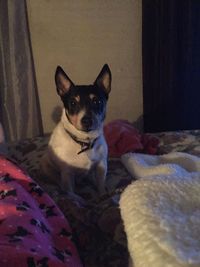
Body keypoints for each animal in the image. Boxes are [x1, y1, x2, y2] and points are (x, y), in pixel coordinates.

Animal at [40, 64, 111, 195]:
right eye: (73, 103)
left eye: (97, 101)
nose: (87, 120)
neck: (84, 142)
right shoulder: (67, 174)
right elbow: (70, 192)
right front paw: (77, 199)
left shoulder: (101, 165)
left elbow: (101, 185)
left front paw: (104, 194)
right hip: (46, 166)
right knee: (58, 182)